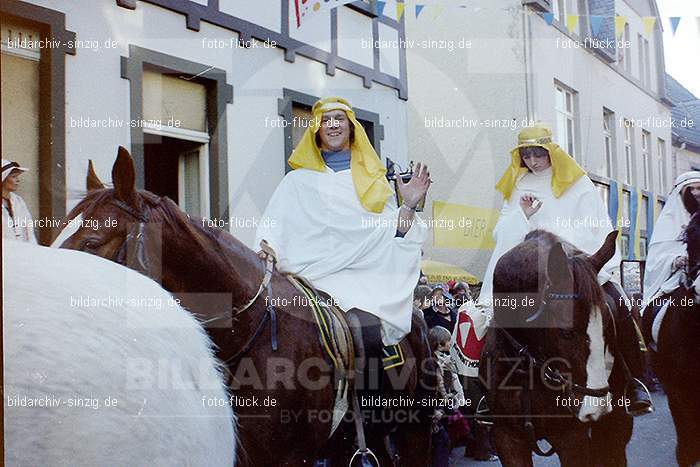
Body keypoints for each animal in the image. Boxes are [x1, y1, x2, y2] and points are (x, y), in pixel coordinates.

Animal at [482, 231, 636, 467]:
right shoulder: (507, 437)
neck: (526, 368)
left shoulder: (571, 437)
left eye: (608, 327)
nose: (597, 406)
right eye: (565, 332)